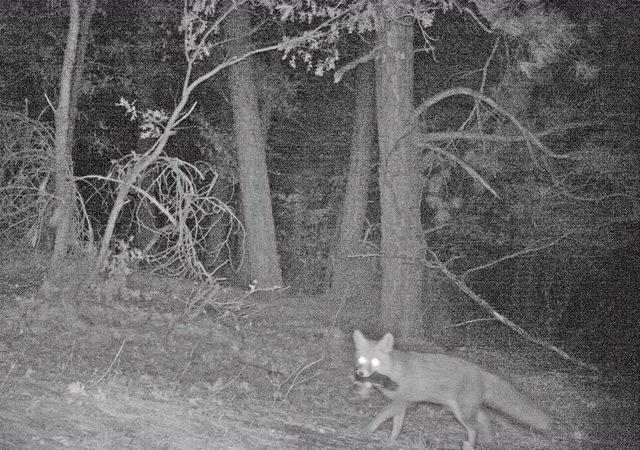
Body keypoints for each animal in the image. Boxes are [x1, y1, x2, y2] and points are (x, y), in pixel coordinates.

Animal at [352, 328, 552, 448]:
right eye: (362, 359)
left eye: (374, 361)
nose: (360, 373)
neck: (395, 370)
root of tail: (480, 371)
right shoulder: (401, 404)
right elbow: (396, 425)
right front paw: (391, 441)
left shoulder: (400, 401)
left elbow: (379, 417)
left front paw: (364, 433)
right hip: (461, 409)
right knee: (484, 418)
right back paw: (488, 441)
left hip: (461, 413)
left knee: (474, 428)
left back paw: (470, 446)